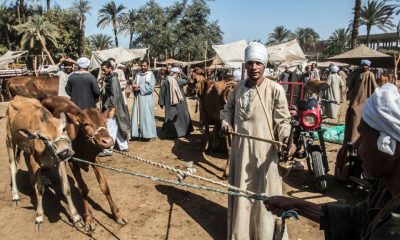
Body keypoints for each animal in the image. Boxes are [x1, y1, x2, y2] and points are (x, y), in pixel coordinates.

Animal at [5, 95, 82, 231]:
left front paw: (76, 217)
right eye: (43, 138)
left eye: (63, 129)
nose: (64, 152)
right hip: (9, 139)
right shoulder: (35, 161)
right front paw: (39, 217)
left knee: (26, 158)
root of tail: (15, 97)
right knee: (13, 166)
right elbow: (40, 190)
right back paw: (15, 196)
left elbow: (66, 188)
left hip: (26, 148)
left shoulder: (60, 161)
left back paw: (35, 182)